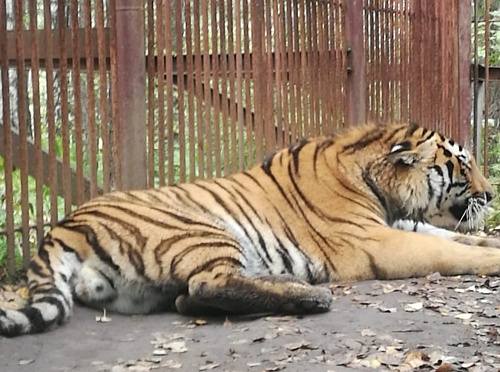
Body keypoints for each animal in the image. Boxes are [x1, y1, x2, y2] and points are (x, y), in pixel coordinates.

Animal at [0, 122, 500, 338]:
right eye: (463, 165)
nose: (492, 194)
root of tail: (60, 230)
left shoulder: (401, 222)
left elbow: (459, 237)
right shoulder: (375, 241)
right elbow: (450, 251)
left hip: (139, 288)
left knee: (187, 296)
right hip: (200, 227)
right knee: (205, 284)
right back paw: (310, 296)